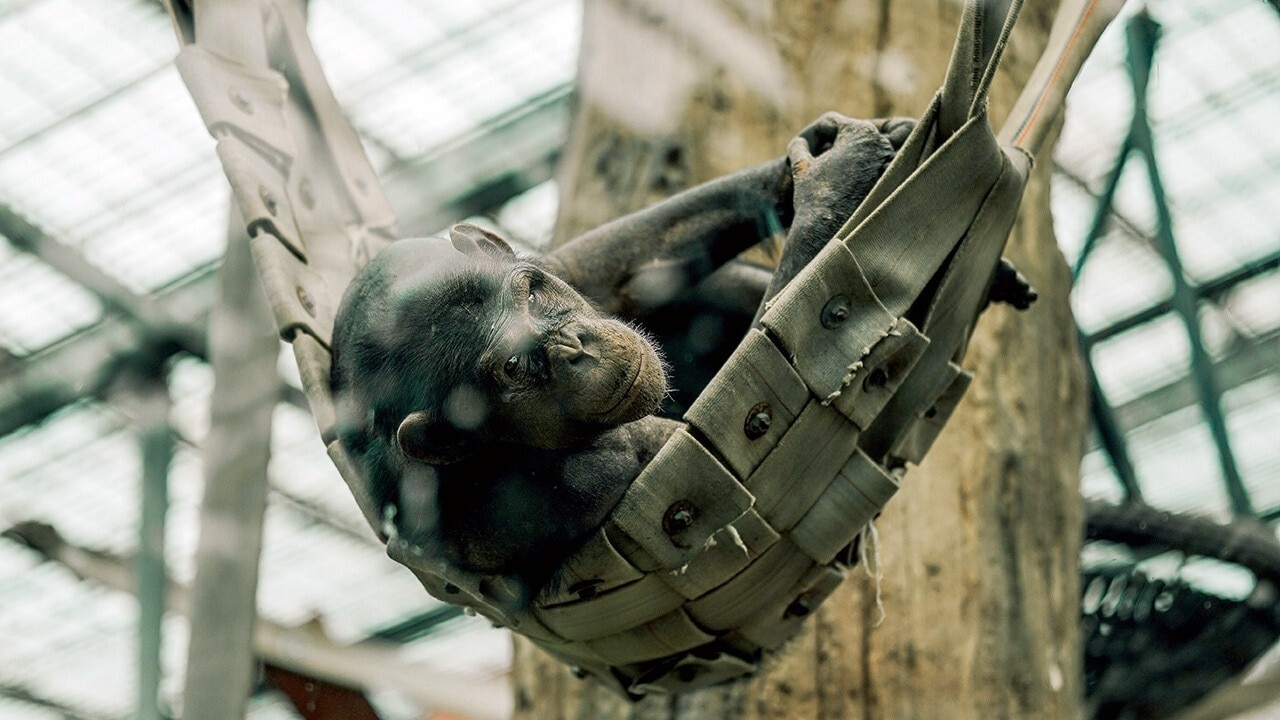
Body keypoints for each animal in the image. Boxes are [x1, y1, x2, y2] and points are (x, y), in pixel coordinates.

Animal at [330, 114, 1032, 608]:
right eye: (515, 369)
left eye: (529, 291)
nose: (572, 346)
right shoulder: (577, 487)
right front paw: (833, 184)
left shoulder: (568, 269)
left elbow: (626, 268)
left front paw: (813, 155)